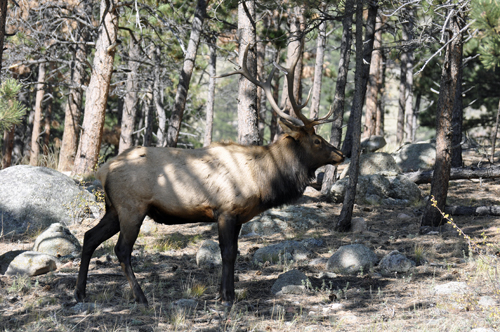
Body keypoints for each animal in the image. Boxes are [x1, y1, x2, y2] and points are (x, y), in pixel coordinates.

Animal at [75, 44, 344, 306]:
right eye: (318, 141)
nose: (341, 153)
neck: (263, 179)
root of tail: (103, 170)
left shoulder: (239, 216)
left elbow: (234, 252)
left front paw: (226, 293)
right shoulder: (225, 210)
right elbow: (227, 252)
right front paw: (227, 296)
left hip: (114, 209)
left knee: (89, 237)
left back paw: (80, 292)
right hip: (132, 207)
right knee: (121, 249)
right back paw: (140, 297)